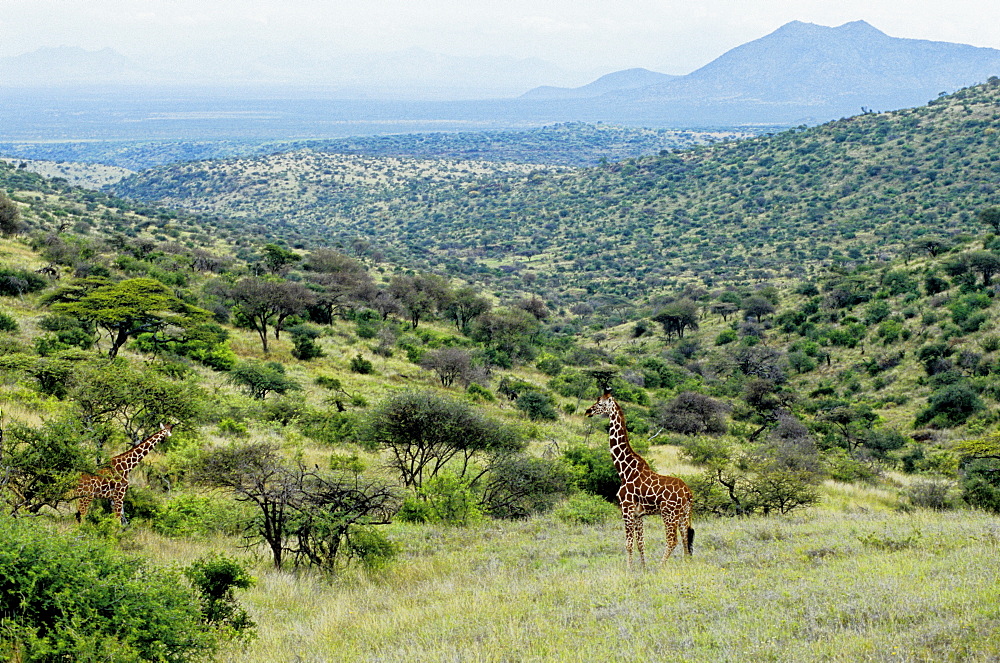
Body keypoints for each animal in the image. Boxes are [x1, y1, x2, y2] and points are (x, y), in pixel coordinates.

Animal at [584, 392, 696, 568]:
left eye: (600, 403)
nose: (588, 411)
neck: (624, 470)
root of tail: (688, 492)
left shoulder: (626, 509)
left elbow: (628, 543)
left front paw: (628, 569)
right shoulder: (638, 514)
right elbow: (641, 543)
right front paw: (643, 567)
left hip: (669, 514)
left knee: (672, 540)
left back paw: (660, 567)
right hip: (684, 514)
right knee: (686, 538)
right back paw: (685, 565)